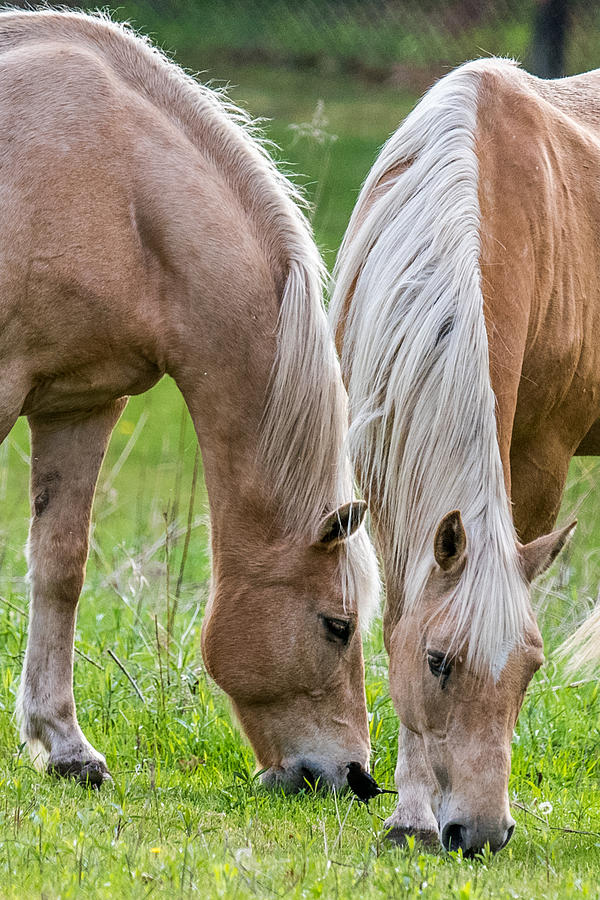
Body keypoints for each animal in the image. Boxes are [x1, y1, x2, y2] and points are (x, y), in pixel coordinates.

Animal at [1, 10, 380, 792]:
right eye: (338, 625)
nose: (355, 777)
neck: (109, 178)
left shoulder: (80, 404)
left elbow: (60, 563)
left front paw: (65, 746)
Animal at [332, 58, 600, 856]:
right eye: (439, 662)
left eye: (531, 668)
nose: (479, 833)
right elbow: (399, 616)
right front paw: (410, 815)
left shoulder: (540, 458)